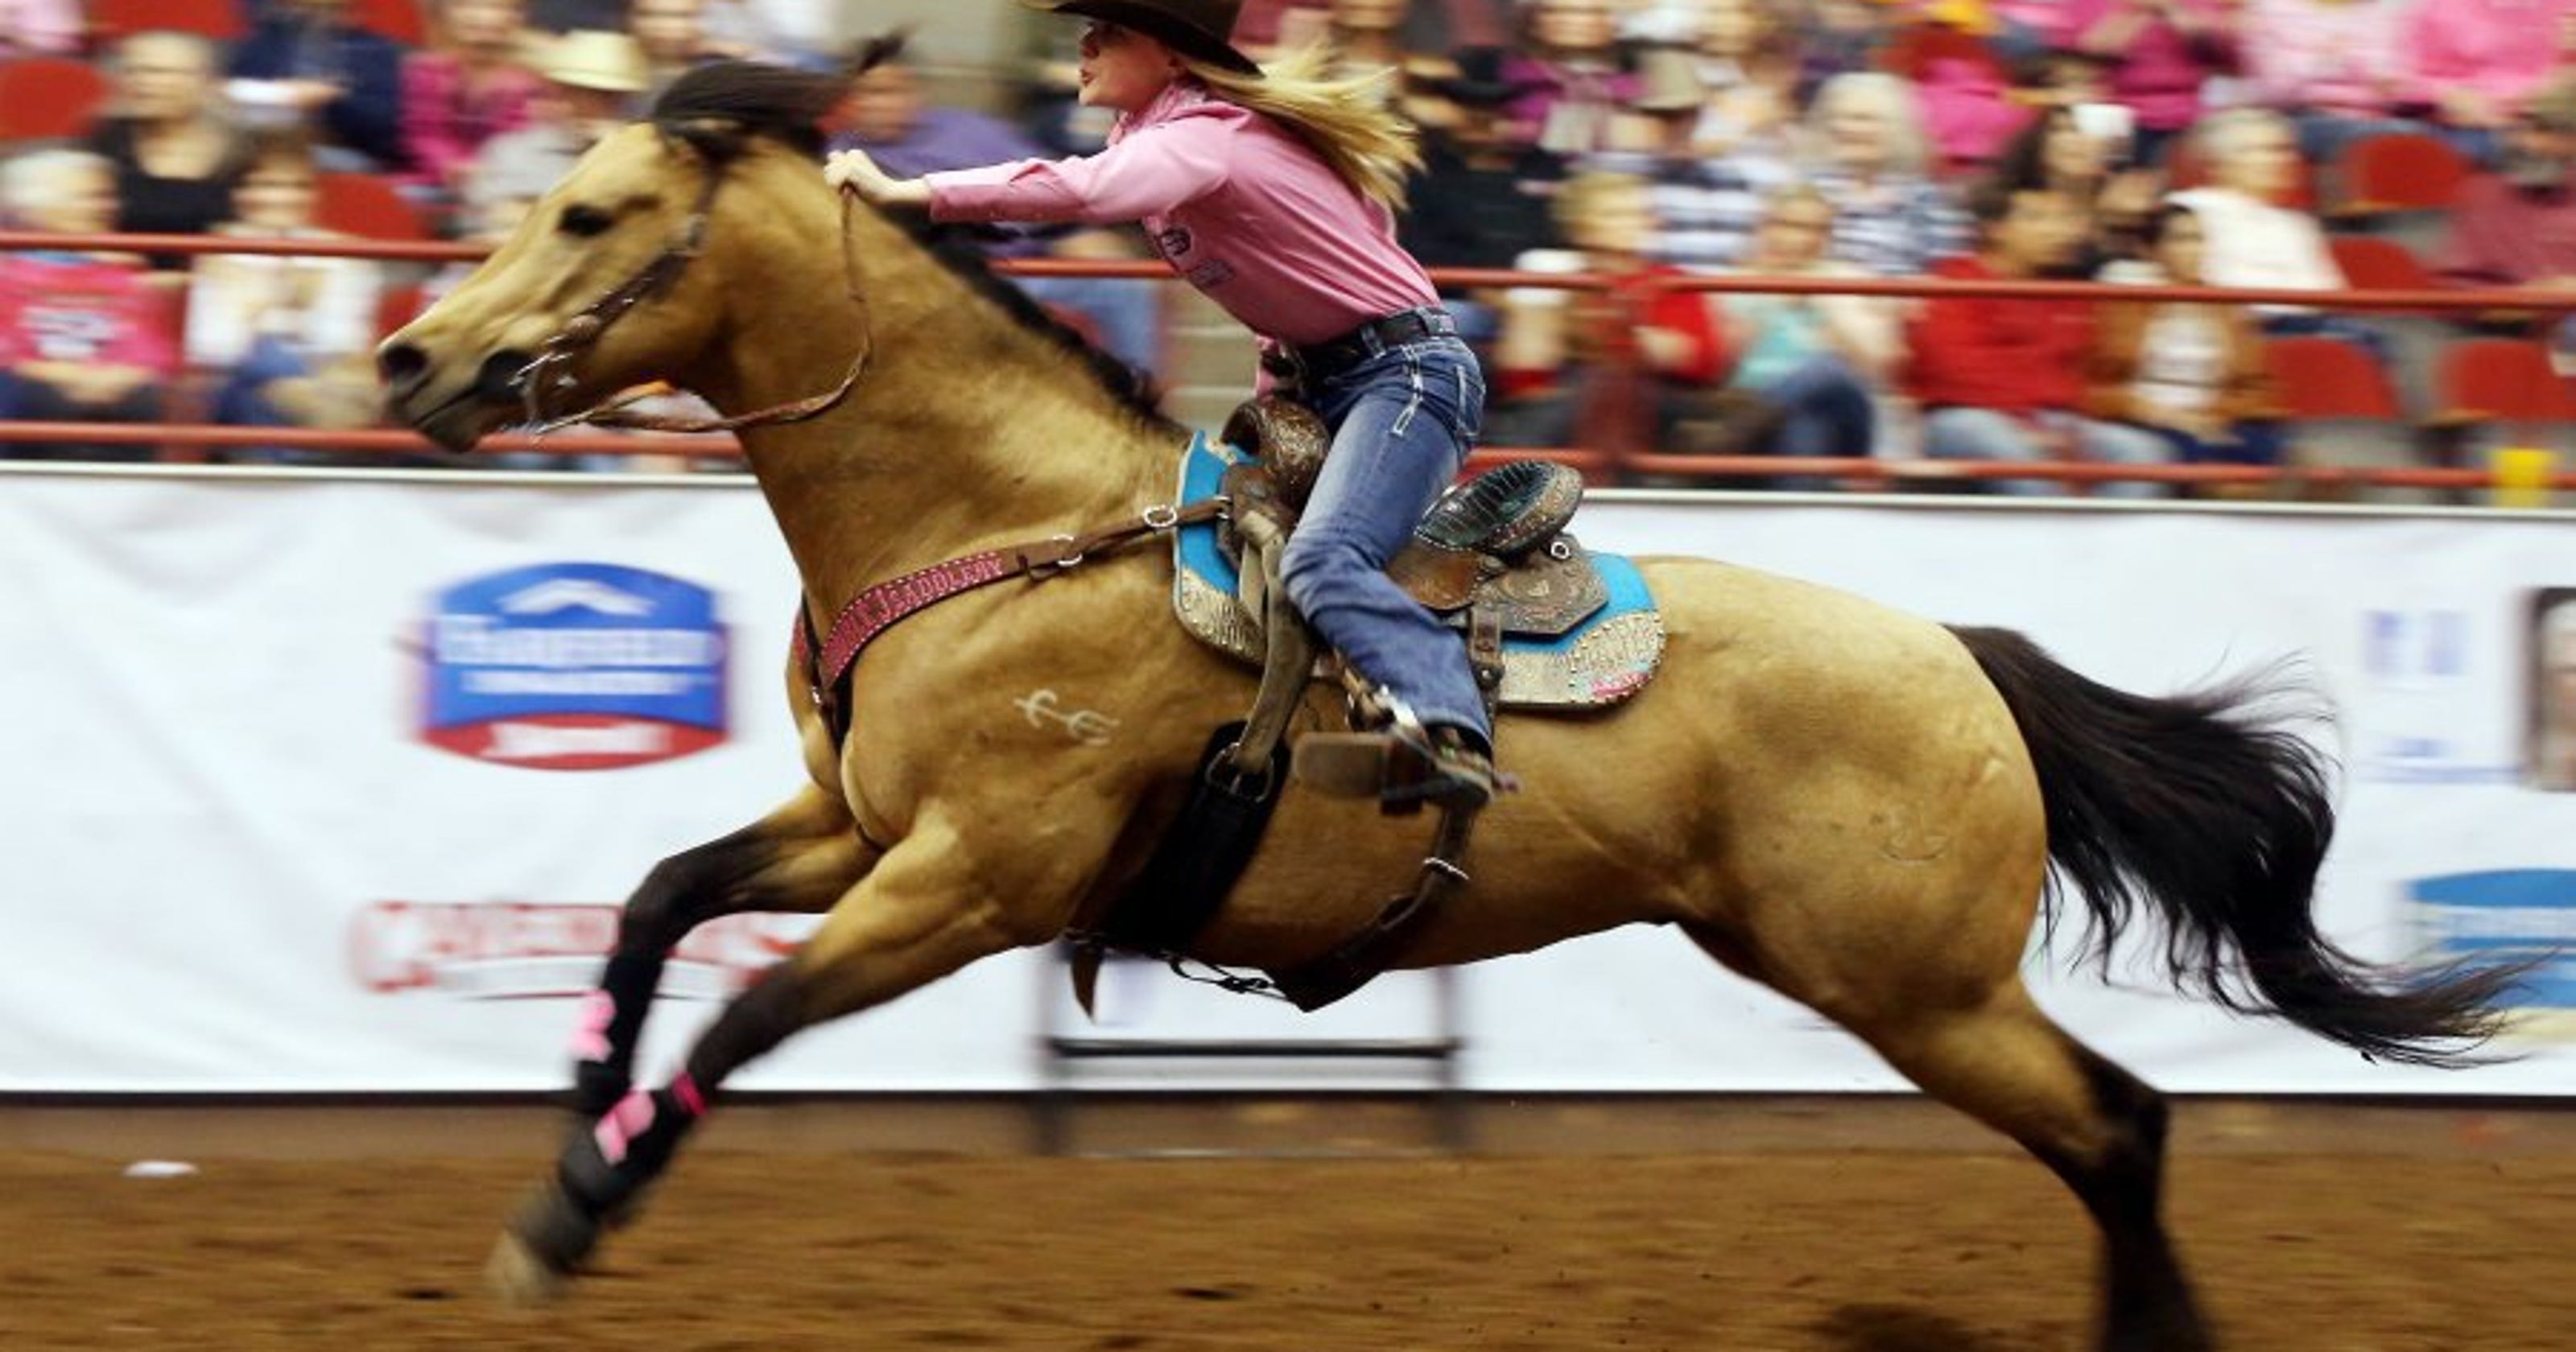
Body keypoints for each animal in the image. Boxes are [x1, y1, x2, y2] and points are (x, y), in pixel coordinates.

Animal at [376, 63, 2514, 1349]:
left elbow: (747, 1017)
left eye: (589, 218)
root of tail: (1957, 656)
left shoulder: (971, 876)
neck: (1001, 526)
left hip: (1910, 986)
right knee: (2115, 1129)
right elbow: (659, 903)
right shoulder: (858, 830)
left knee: (2126, 1124)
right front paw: (575, 1104)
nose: (409, 360)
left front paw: (571, 1214)